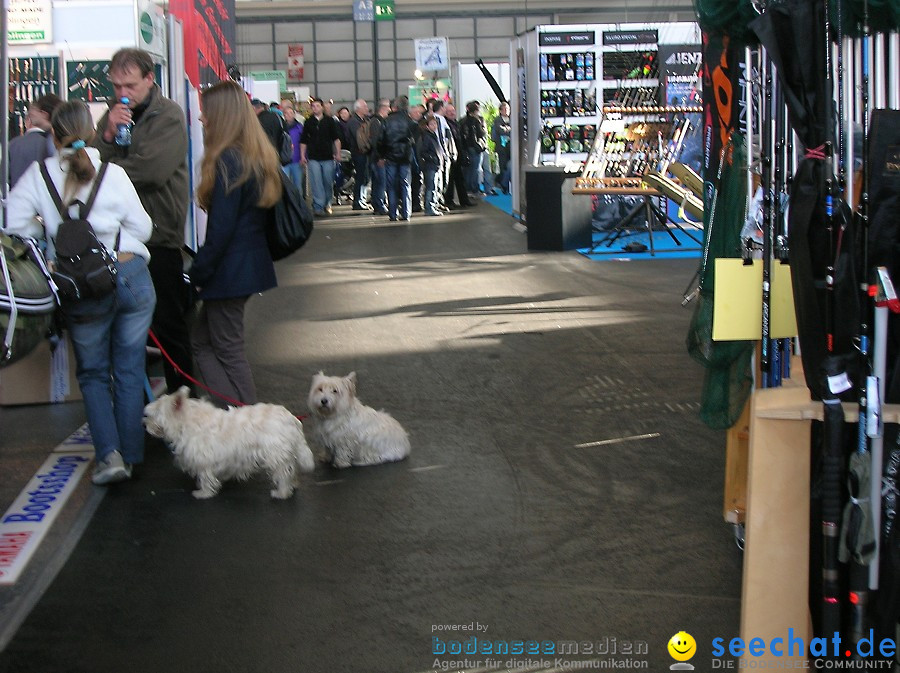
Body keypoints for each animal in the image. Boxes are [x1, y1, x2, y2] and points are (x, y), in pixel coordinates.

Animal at [144, 384, 316, 498]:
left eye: (154, 415)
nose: (144, 424)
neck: (187, 420)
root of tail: (292, 419)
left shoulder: (203, 460)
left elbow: (205, 477)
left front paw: (203, 493)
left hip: (276, 456)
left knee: (283, 474)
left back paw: (281, 492)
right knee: (291, 469)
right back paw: (293, 484)